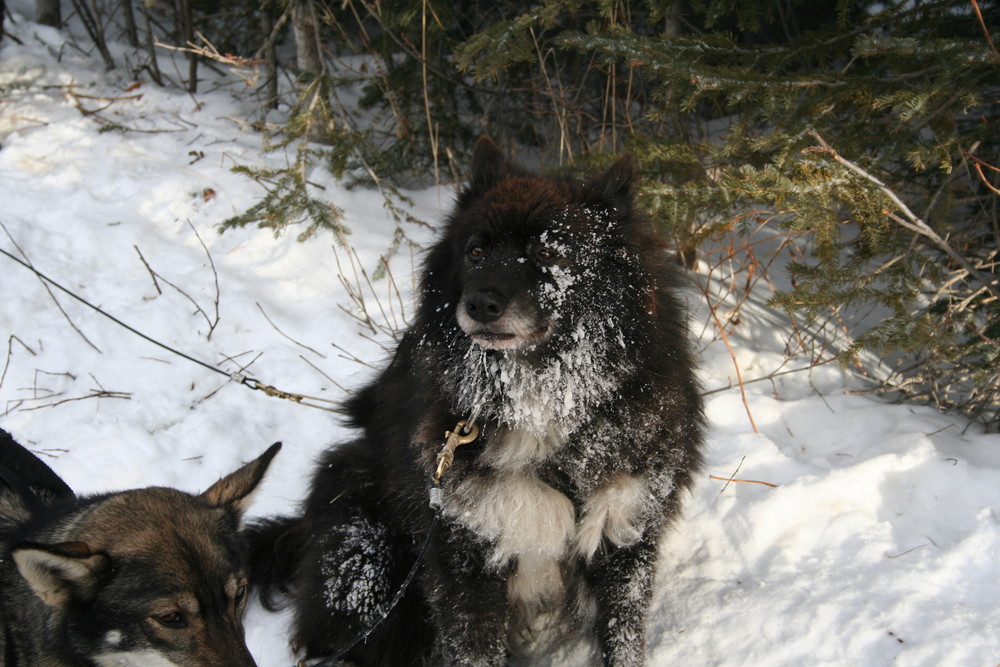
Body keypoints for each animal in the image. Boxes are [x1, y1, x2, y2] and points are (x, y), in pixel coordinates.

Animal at [248, 138, 704, 664]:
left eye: (547, 251)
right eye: (477, 250)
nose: (481, 304)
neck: (541, 396)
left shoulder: (624, 530)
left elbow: (622, 640)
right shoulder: (463, 552)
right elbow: (474, 647)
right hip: (366, 543)